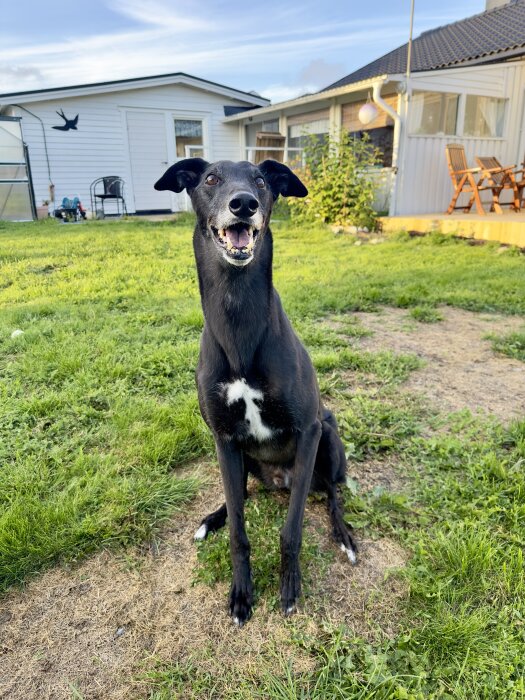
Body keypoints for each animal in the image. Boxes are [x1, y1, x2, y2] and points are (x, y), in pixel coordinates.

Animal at [154, 159, 354, 624]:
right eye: (210, 179)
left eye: (261, 181)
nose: (243, 204)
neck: (238, 315)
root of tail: (279, 479)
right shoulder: (224, 439)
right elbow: (239, 531)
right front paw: (242, 592)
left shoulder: (309, 430)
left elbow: (292, 530)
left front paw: (290, 587)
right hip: (240, 458)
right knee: (240, 495)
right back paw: (212, 519)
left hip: (329, 438)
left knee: (332, 494)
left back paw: (345, 536)